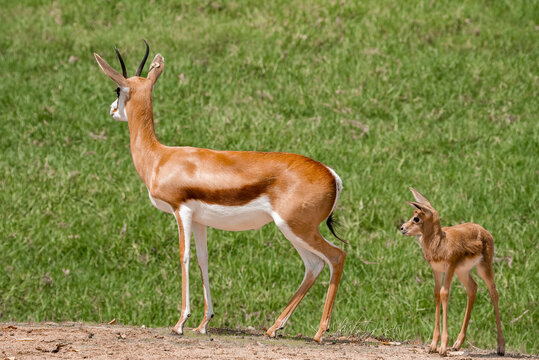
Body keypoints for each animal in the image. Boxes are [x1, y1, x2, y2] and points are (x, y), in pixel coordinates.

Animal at [95, 43, 348, 344]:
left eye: (117, 90)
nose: (111, 110)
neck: (159, 157)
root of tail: (332, 175)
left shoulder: (181, 211)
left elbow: (184, 257)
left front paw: (180, 323)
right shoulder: (200, 220)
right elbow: (203, 260)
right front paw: (203, 323)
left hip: (297, 227)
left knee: (336, 256)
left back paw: (320, 332)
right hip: (292, 229)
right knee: (313, 265)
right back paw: (274, 328)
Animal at [400, 187, 506, 356]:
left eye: (416, 218)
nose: (402, 228)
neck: (439, 242)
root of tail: (484, 231)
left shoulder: (450, 267)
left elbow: (444, 293)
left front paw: (443, 346)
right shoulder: (437, 270)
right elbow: (437, 294)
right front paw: (433, 345)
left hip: (484, 267)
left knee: (493, 293)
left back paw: (501, 347)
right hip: (463, 272)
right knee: (473, 288)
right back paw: (457, 344)